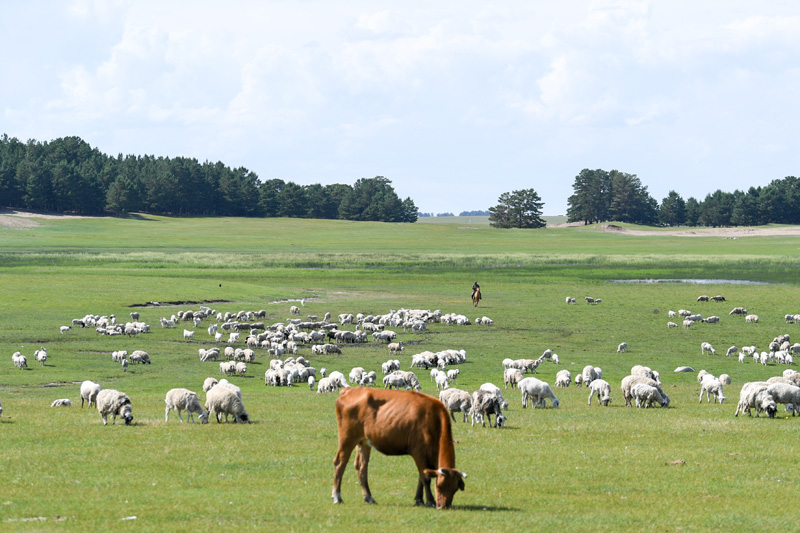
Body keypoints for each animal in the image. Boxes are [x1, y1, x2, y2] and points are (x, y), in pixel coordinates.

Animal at [332, 386, 468, 508]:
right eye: (440, 486)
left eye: (455, 488)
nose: (445, 506)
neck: (433, 419)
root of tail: (350, 390)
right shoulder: (418, 452)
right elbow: (425, 478)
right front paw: (430, 501)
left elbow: (421, 477)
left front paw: (419, 500)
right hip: (347, 438)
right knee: (340, 463)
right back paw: (337, 496)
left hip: (364, 442)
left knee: (361, 467)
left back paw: (368, 497)